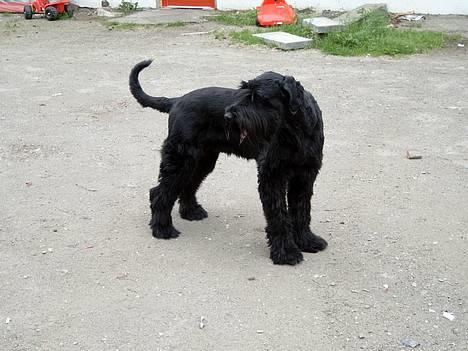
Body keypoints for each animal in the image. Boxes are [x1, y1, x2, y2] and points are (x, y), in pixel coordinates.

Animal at [128, 60, 326, 266]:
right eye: (245, 91)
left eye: (259, 97)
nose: (228, 116)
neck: (295, 132)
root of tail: (177, 100)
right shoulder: (272, 176)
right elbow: (279, 215)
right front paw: (286, 253)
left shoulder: (305, 176)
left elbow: (301, 210)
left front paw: (306, 241)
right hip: (180, 158)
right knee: (159, 192)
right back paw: (162, 229)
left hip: (202, 160)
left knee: (187, 185)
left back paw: (191, 212)